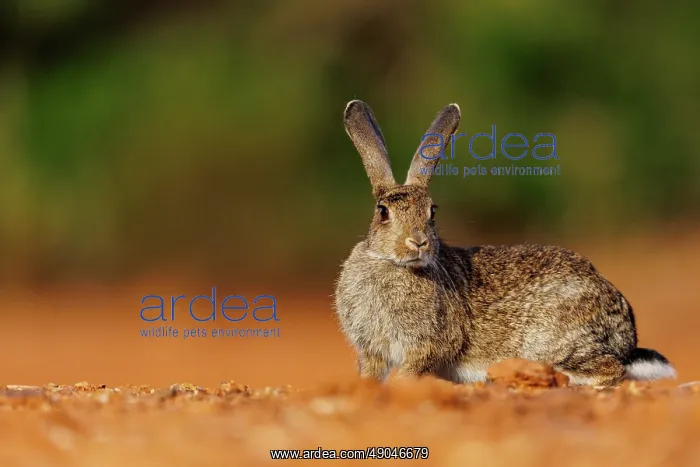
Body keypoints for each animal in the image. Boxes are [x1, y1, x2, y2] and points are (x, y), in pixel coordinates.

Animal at [333, 100, 677, 386]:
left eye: (432, 211)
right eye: (383, 212)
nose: (418, 242)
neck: (392, 264)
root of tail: (626, 331)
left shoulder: (429, 344)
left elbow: (411, 371)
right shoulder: (372, 351)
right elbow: (371, 374)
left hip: (554, 340)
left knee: (609, 371)